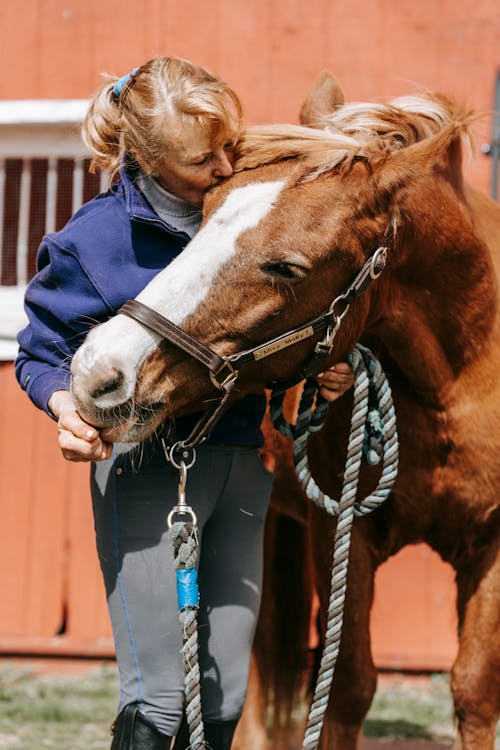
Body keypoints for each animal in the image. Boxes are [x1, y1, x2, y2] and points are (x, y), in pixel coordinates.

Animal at [71, 72, 500, 750]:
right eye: (201, 217)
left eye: (286, 267)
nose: (99, 373)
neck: (456, 381)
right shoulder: (340, 529)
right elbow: (347, 684)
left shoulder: (491, 542)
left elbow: (475, 688)